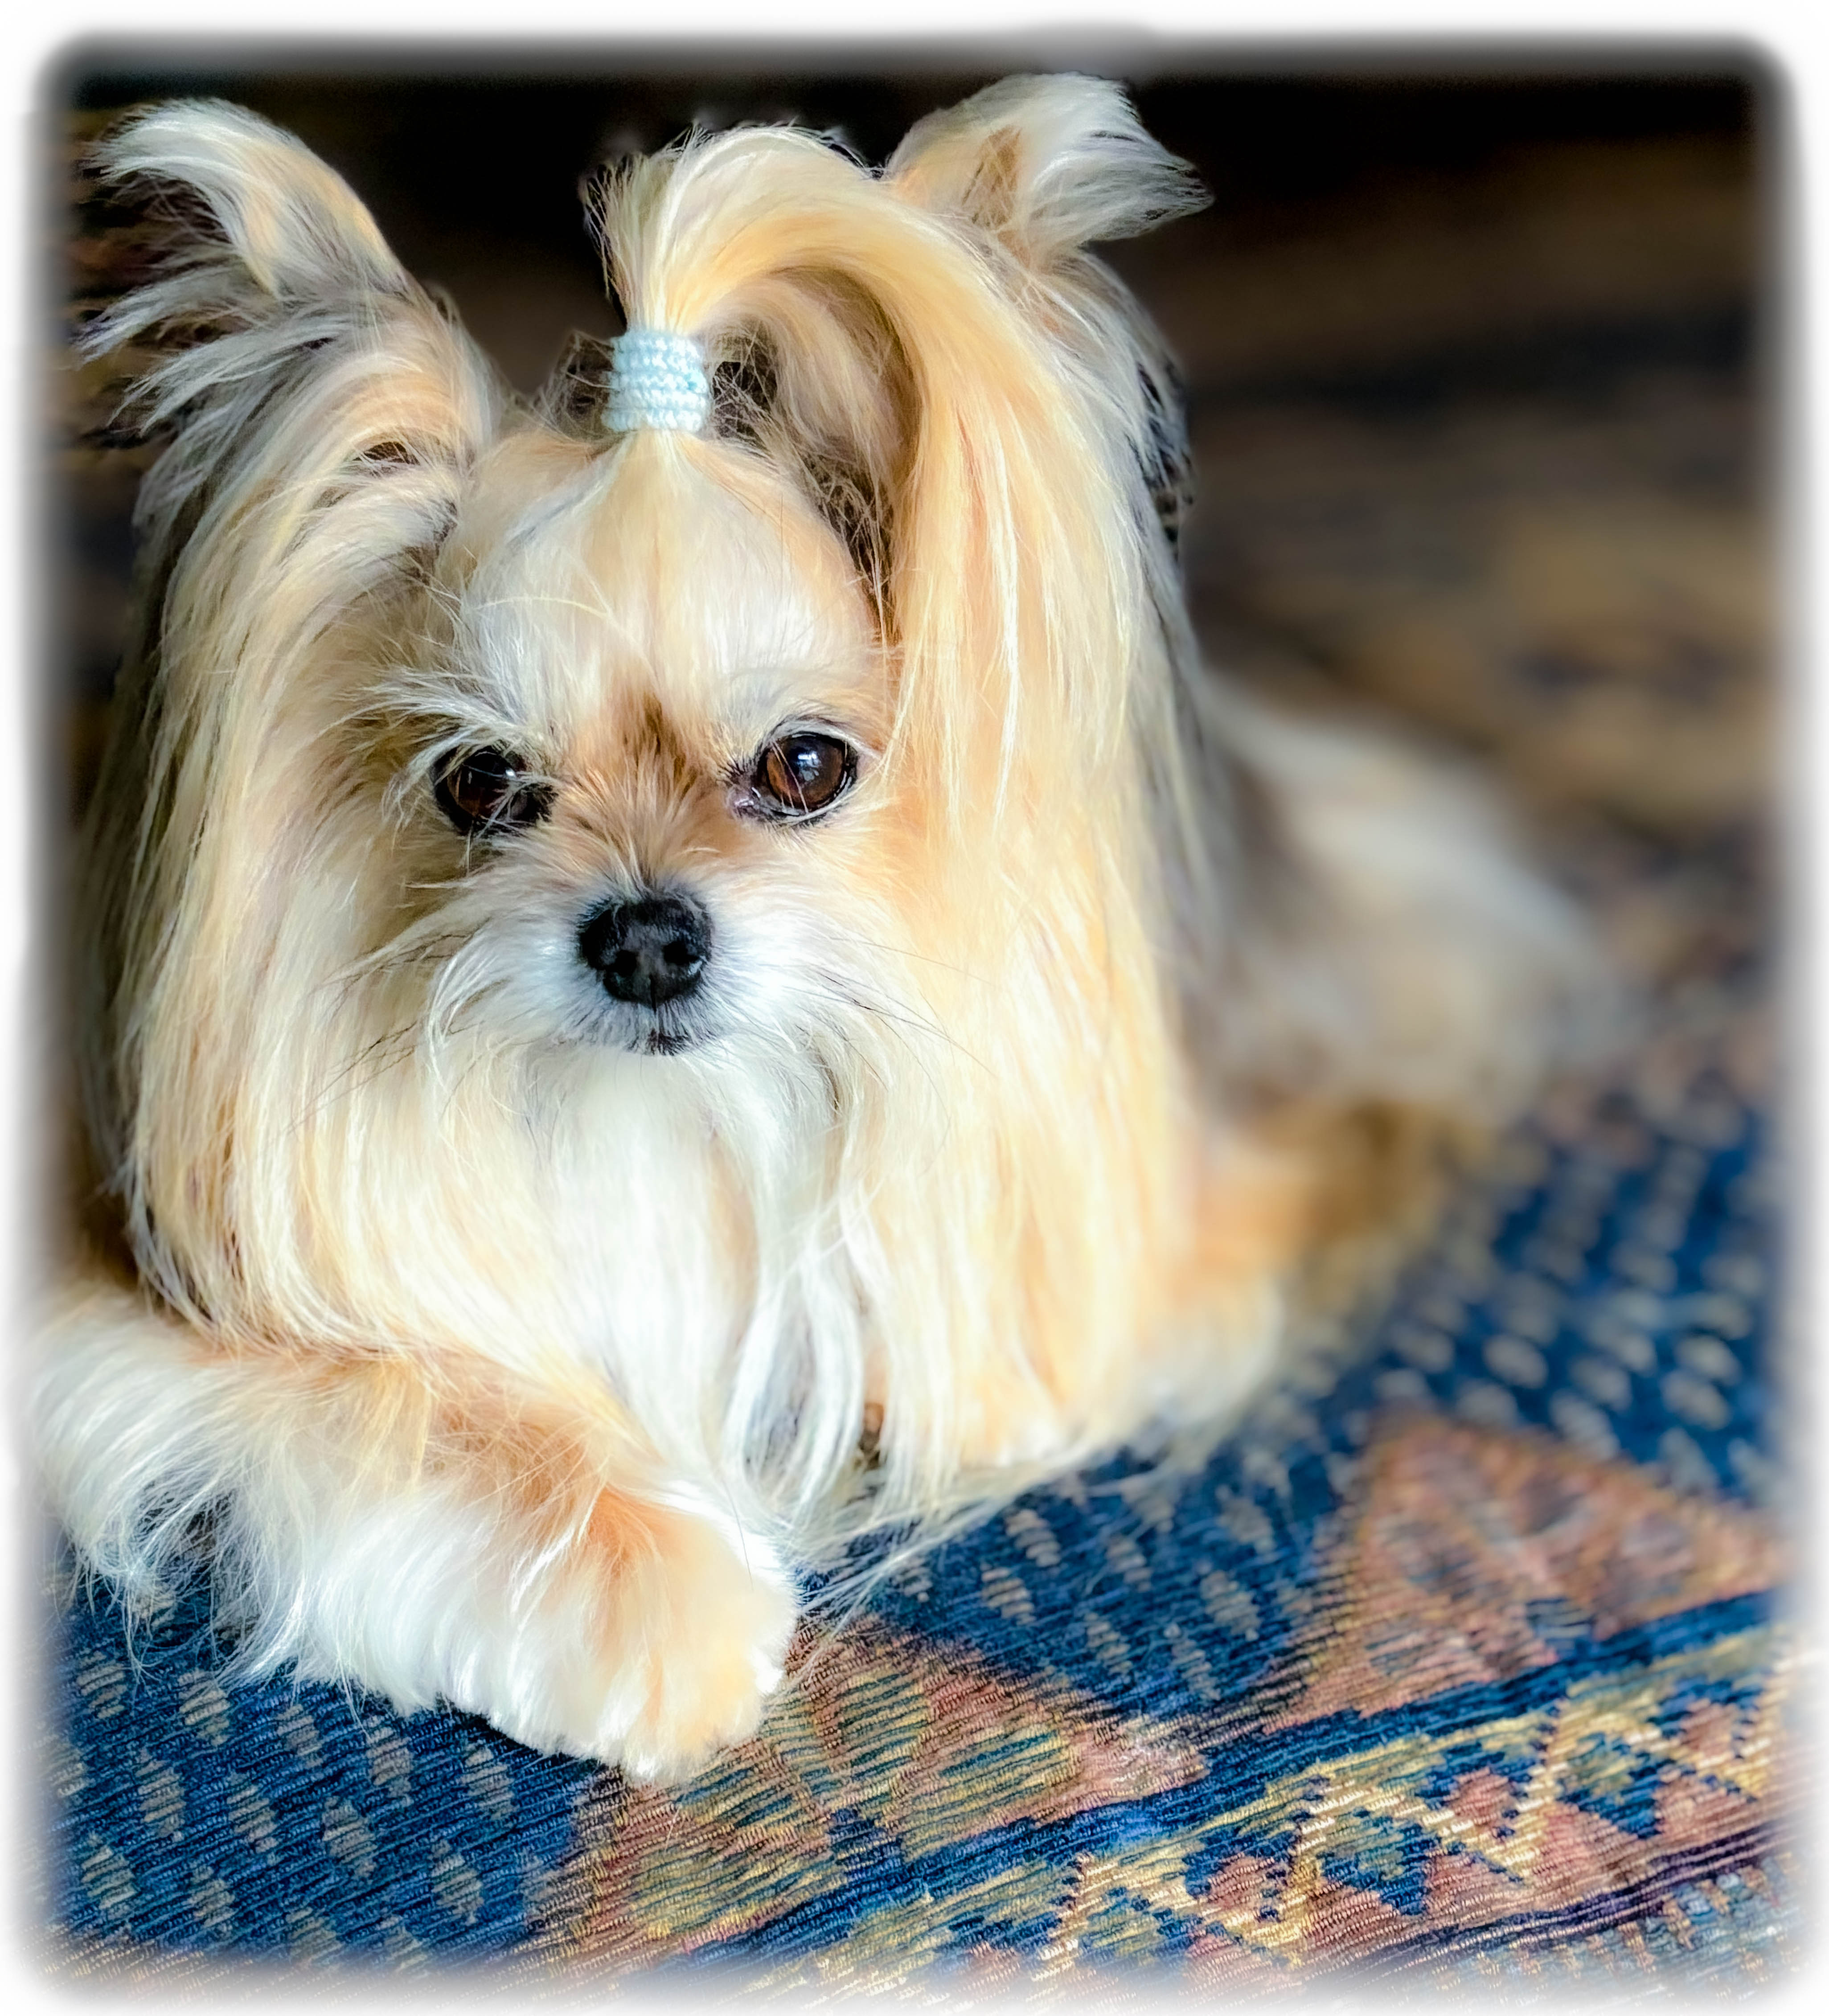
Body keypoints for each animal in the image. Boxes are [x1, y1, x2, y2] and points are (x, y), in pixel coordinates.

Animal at [37, 76, 1602, 1782]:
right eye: (480, 783)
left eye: (804, 765)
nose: (646, 938)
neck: (667, 1124)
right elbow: (417, 1387)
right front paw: (660, 1595)